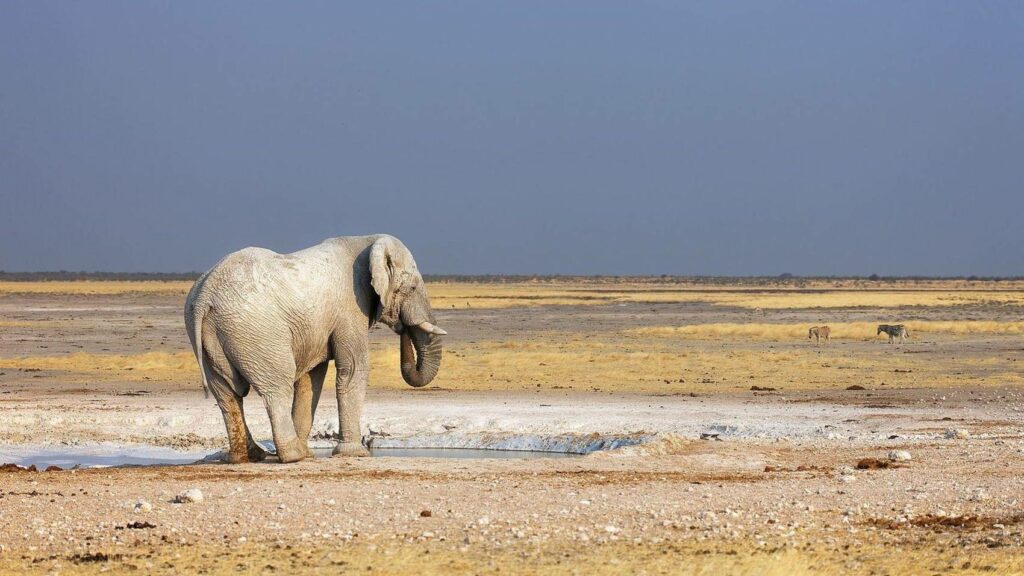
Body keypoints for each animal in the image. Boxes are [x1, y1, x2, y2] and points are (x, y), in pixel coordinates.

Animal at [183, 233, 444, 461]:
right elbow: (352, 370)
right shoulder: (350, 308)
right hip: (256, 331)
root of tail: (205, 293)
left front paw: (314, 454)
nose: (402, 327)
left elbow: (311, 379)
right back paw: (292, 456)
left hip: (212, 336)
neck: (368, 241)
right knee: (276, 389)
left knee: (226, 394)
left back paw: (249, 457)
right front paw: (355, 454)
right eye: (412, 288)